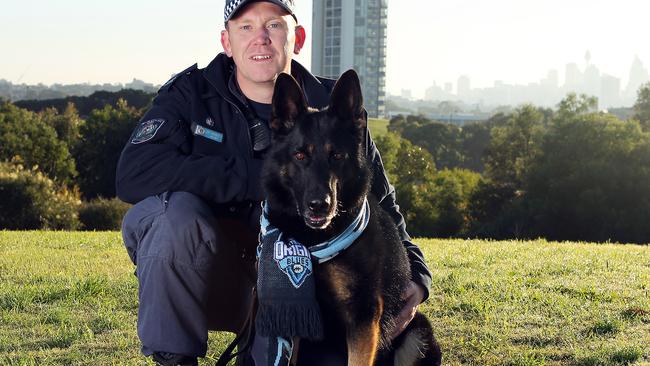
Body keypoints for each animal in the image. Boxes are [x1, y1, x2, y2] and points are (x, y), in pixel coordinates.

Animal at [262, 69, 440, 366]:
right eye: (300, 155)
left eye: (336, 155)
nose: (319, 206)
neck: (315, 243)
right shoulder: (298, 317)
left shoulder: (362, 318)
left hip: (416, 334)